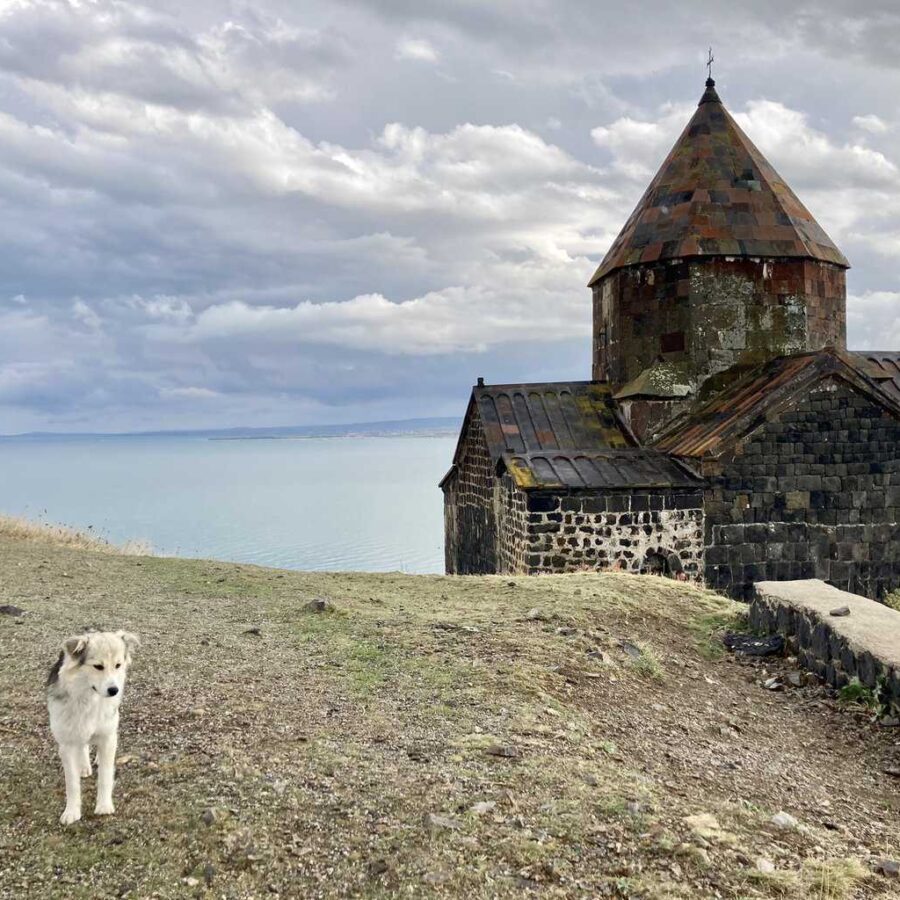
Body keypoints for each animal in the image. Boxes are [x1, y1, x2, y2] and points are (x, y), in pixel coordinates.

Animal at [47, 628, 139, 828]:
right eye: (98, 666)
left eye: (118, 665)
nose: (114, 690)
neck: (89, 697)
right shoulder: (66, 743)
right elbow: (72, 784)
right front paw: (71, 811)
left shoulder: (107, 735)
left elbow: (105, 775)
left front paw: (104, 805)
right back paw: (83, 766)